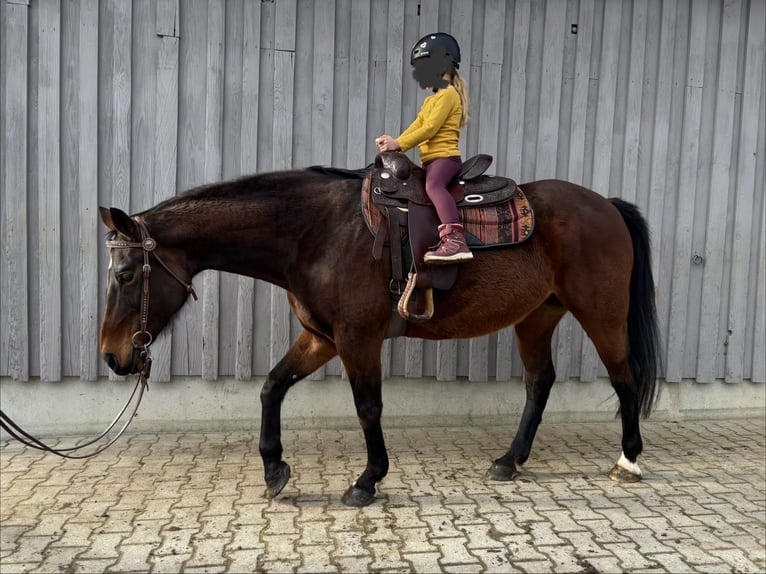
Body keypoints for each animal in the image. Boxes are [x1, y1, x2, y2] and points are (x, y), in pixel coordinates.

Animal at [98, 166, 661, 507]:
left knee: (624, 378)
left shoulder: (356, 339)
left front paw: (367, 480)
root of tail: (606, 205)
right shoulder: (320, 337)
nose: (111, 356)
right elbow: (272, 387)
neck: (316, 233)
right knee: (539, 382)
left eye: (124, 275)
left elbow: (368, 408)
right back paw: (509, 461)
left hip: (600, 313)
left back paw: (628, 460)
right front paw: (274, 468)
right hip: (537, 317)